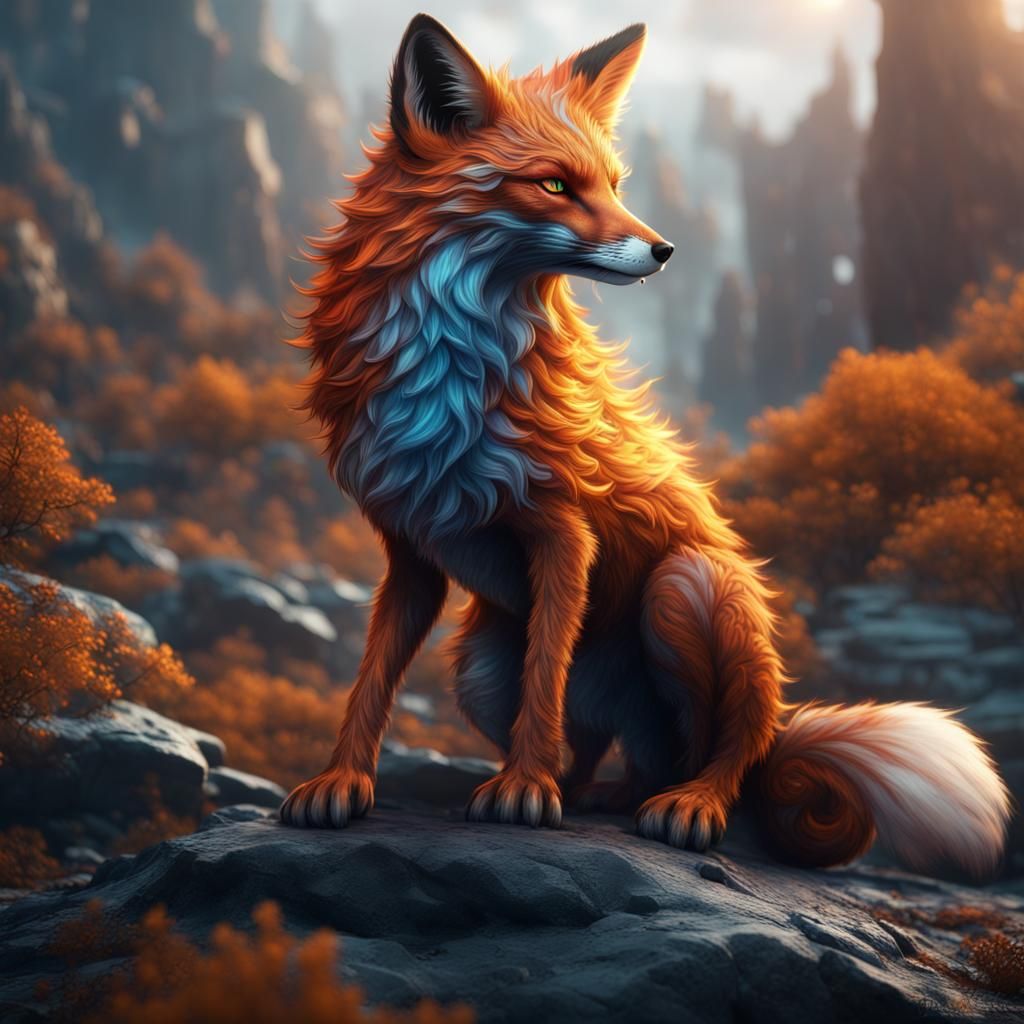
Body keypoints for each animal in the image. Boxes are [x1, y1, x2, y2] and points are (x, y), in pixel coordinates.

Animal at [280, 14, 1011, 876]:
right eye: (555, 186)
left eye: (615, 185)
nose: (664, 250)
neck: (450, 373)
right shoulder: (411, 554)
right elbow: (373, 682)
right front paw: (341, 782)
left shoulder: (564, 532)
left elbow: (545, 674)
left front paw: (523, 791)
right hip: (478, 669)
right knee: (603, 747)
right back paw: (591, 793)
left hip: (688, 588)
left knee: (722, 751)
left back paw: (689, 805)